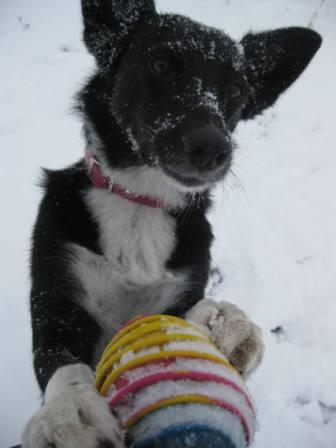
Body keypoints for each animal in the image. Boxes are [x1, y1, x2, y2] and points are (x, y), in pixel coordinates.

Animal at [22, 0, 322, 448]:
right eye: (161, 64)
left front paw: (225, 320)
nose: (214, 148)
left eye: (237, 91)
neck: (141, 203)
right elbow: (63, 361)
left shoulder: (181, 287)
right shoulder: (56, 303)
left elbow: (190, 312)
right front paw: (70, 412)